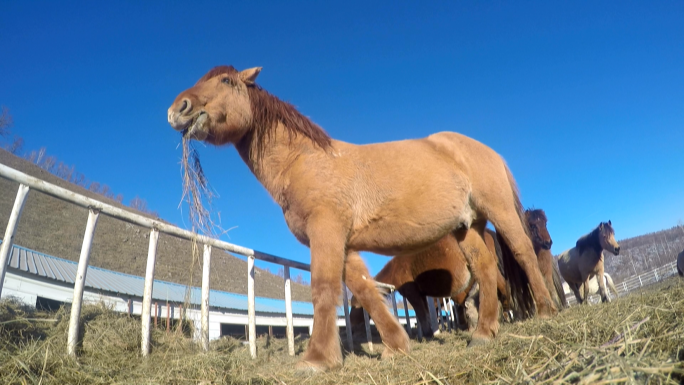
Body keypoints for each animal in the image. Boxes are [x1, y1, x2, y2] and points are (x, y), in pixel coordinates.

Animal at [348, 230, 508, 338]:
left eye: (356, 305)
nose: (352, 326)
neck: (396, 267)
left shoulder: (412, 292)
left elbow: (421, 314)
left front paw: (427, 334)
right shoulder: (424, 295)